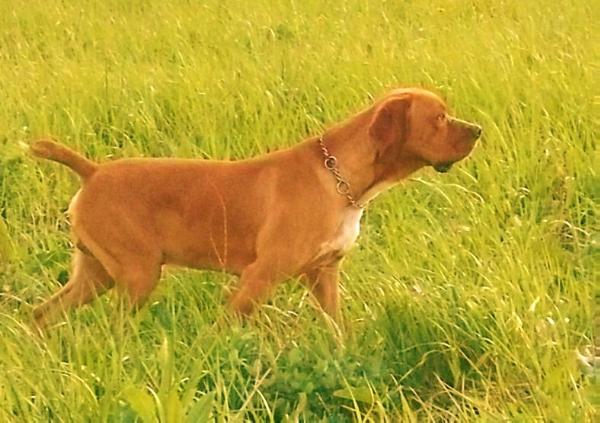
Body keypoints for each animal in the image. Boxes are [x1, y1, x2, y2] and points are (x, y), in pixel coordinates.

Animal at [31, 88, 482, 328]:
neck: (340, 179)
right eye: (440, 118)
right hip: (137, 275)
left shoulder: (324, 275)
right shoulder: (259, 276)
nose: (478, 130)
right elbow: (223, 330)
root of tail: (93, 172)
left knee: (42, 314)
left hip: (97, 275)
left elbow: (338, 329)